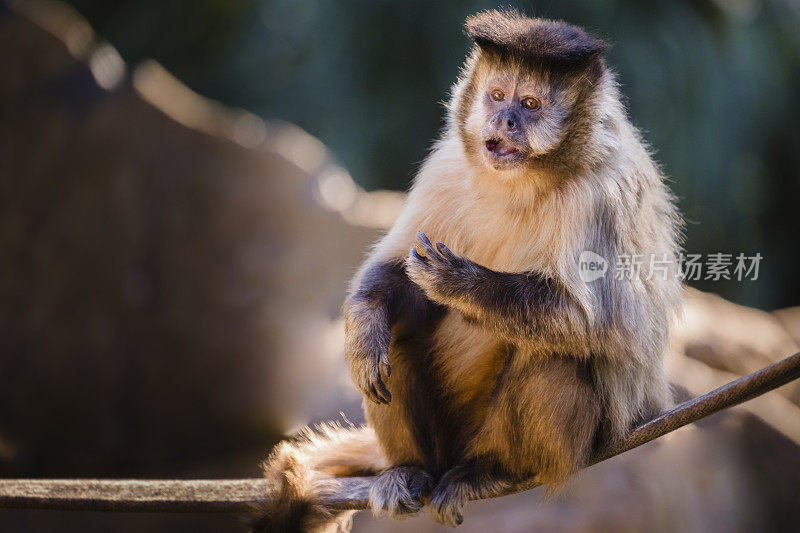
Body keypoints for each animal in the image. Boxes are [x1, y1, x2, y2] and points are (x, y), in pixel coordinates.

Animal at [255, 9, 680, 532]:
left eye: (530, 104)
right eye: (497, 95)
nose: (505, 120)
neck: (523, 180)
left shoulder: (600, 195)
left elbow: (600, 326)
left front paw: (461, 282)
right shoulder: (446, 165)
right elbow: (394, 276)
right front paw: (366, 323)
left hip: (557, 443)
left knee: (550, 353)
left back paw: (495, 470)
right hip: (446, 439)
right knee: (400, 336)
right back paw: (409, 469)